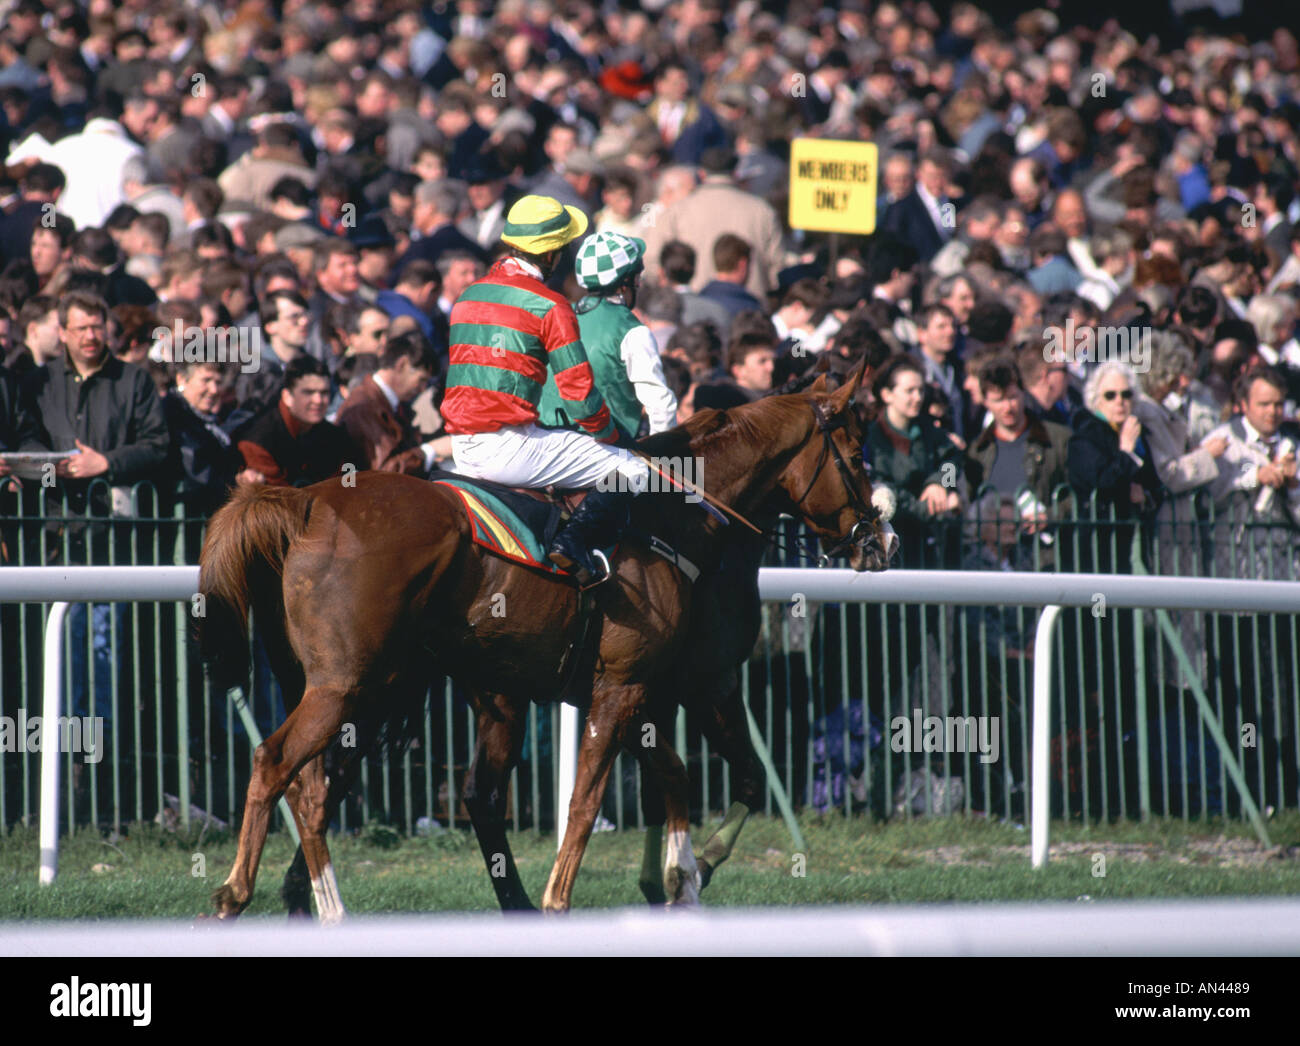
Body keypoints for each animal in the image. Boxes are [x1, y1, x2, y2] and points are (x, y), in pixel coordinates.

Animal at [200, 371, 894, 919]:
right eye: (859, 454)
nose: (881, 540)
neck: (676, 515)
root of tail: (305, 501)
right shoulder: (655, 685)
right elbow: (596, 798)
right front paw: (584, 894)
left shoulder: (635, 692)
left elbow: (671, 777)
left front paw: (674, 878)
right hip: (347, 685)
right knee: (281, 767)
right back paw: (260, 898)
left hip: (387, 689)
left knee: (345, 785)